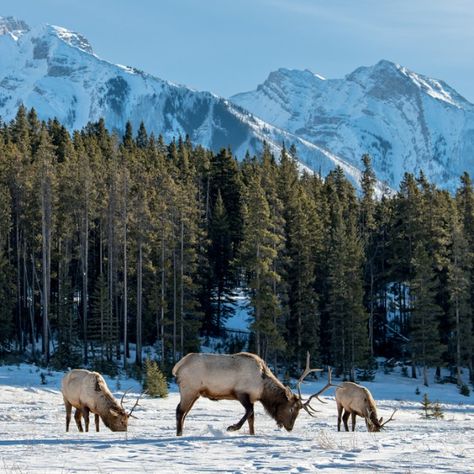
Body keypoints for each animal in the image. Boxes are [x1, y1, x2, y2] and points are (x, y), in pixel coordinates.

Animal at [172, 350, 336, 436]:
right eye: (291, 409)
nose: (290, 427)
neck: (263, 388)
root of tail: (178, 366)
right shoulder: (242, 393)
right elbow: (249, 412)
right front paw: (232, 427)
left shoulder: (251, 398)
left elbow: (252, 418)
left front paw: (252, 433)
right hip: (189, 389)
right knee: (180, 411)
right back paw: (179, 434)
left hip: (195, 393)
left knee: (184, 413)